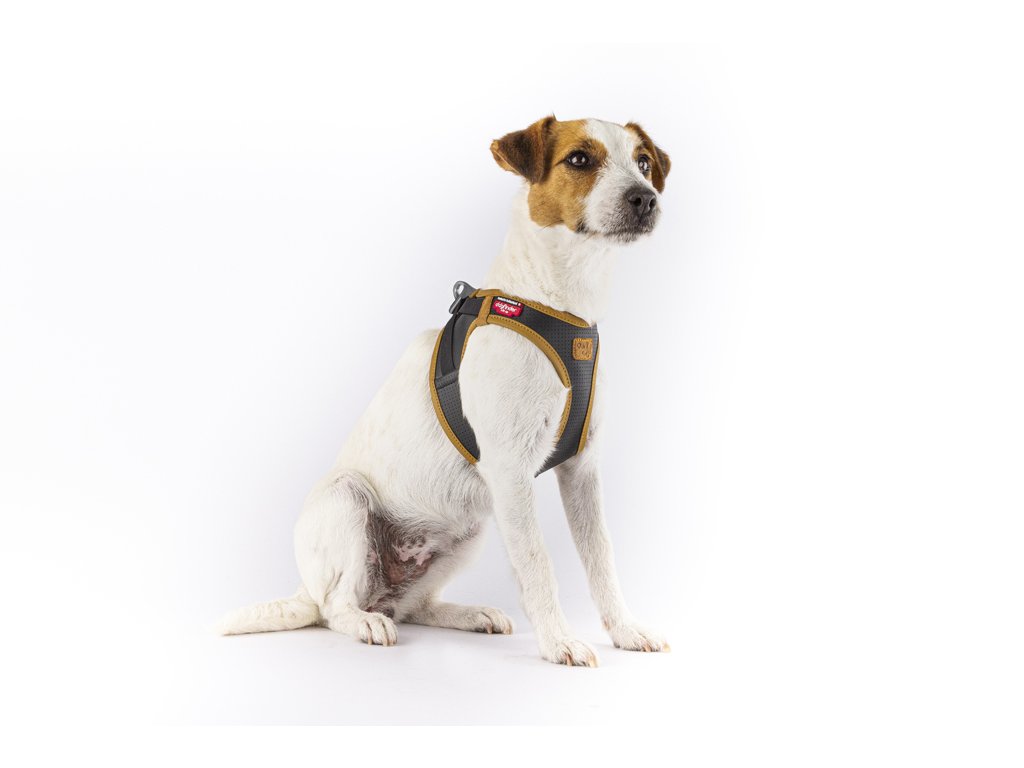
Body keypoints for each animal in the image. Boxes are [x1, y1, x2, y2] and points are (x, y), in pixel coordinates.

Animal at [219, 116, 672, 667]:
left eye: (643, 162)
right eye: (580, 159)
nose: (646, 198)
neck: (559, 307)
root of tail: (308, 588)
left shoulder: (581, 469)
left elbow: (602, 558)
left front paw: (625, 630)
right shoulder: (510, 474)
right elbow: (538, 565)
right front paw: (558, 641)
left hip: (468, 530)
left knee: (410, 606)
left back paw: (467, 615)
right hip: (348, 500)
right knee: (336, 608)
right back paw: (365, 621)